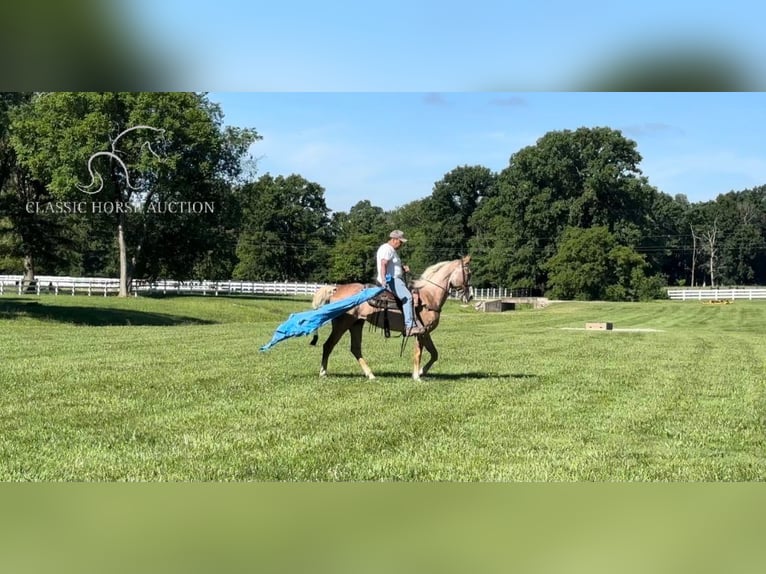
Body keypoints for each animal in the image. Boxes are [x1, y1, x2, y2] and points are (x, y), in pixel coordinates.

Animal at [312, 256, 474, 382]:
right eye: (468, 272)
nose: (470, 296)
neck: (429, 296)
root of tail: (335, 289)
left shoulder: (426, 332)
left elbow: (434, 354)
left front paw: (421, 372)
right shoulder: (420, 333)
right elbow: (418, 353)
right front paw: (417, 376)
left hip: (356, 324)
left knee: (355, 349)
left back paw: (370, 375)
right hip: (342, 324)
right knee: (328, 345)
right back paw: (323, 373)